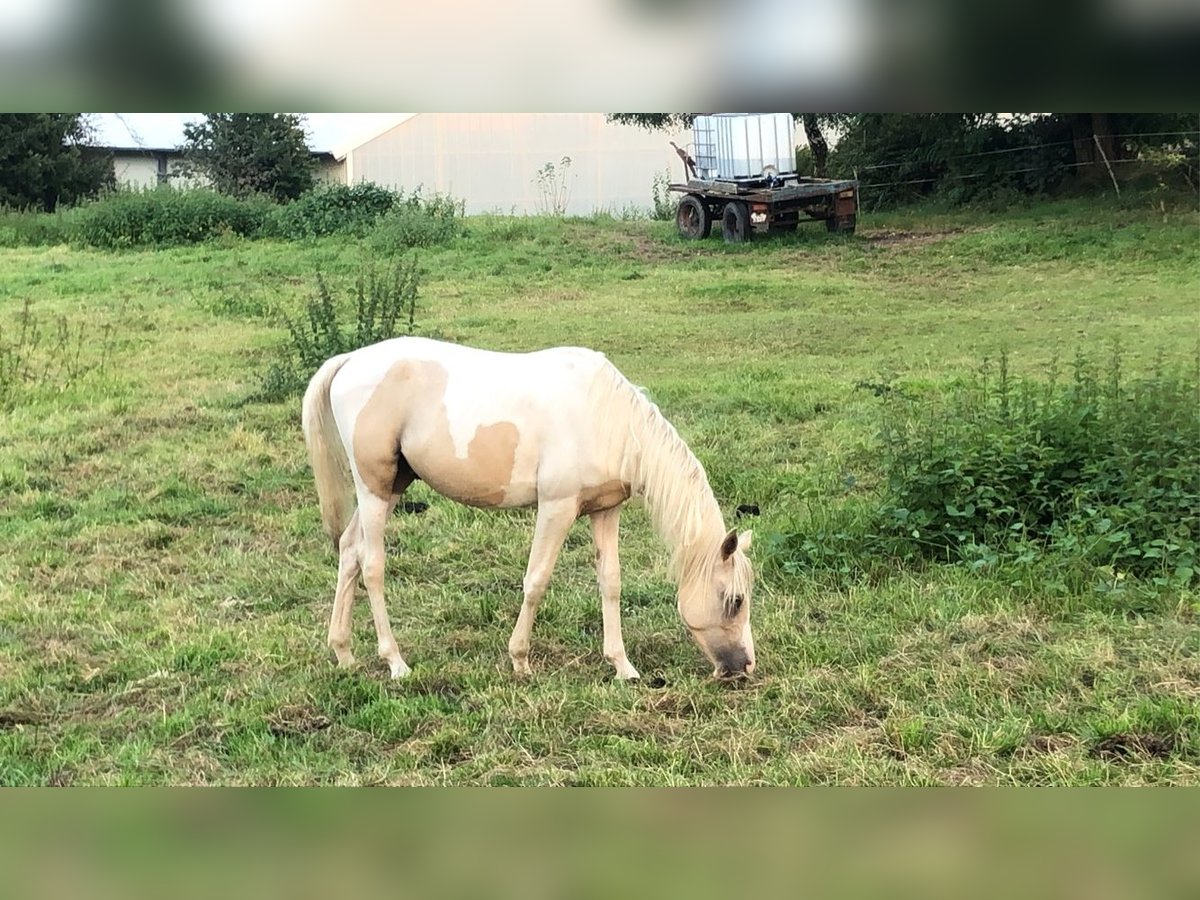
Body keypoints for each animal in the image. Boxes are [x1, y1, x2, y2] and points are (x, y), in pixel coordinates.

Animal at [300, 338, 753, 681]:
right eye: (734, 600)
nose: (745, 668)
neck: (607, 417)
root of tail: (349, 360)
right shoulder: (557, 508)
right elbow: (536, 580)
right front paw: (520, 660)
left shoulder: (605, 511)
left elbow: (610, 583)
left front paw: (622, 666)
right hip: (373, 489)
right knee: (372, 564)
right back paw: (395, 662)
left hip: (392, 486)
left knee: (349, 550)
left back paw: (343, 653)